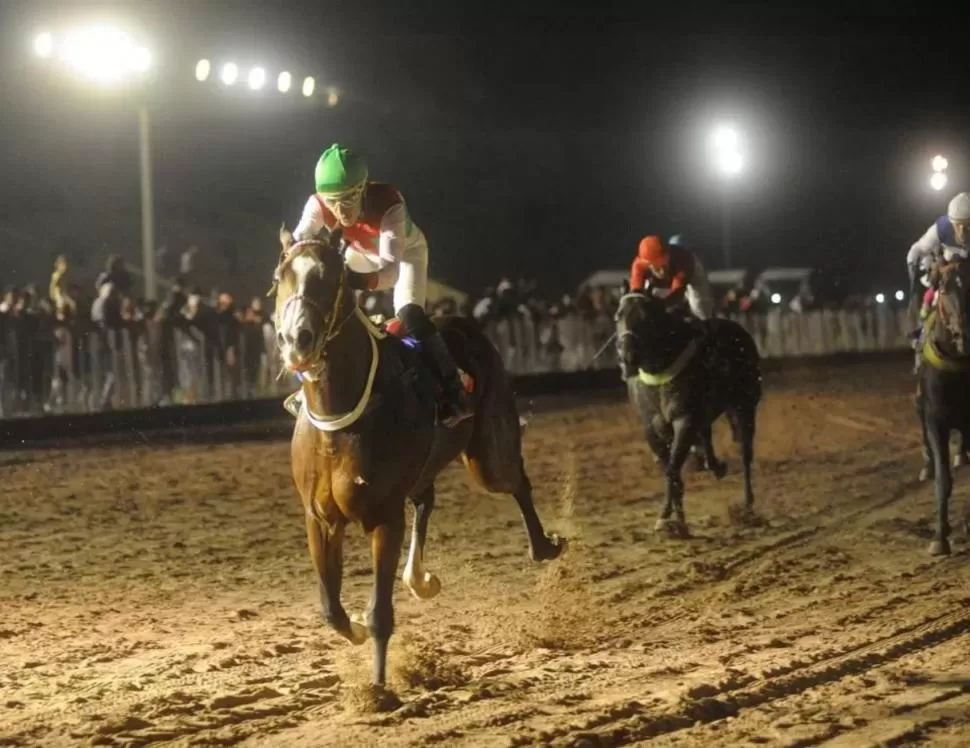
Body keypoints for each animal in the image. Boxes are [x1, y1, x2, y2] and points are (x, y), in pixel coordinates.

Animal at [268, 224, 564, 688]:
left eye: (331, 277)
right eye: (282, 275)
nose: (298, 340)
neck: (341, 414)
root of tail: (463, 324)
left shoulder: (384, 517)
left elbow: (380, 615)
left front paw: (378, 689)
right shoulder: (319, 518)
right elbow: (331, 609)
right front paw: (353, 629)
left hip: (488, 455)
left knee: (517, 480)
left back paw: (544, 547)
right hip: (426, 467)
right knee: (428, 499)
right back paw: (420, 578)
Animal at [612, 288, 764, 536]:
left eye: (647, 317)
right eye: (618, 316)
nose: (627, 357)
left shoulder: (684, 420)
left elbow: (673, 469)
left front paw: (671, 519)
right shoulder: (652, 428)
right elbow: (670, 469)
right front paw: (672, 516)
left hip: (745, 406)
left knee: (745, 454)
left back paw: (747, 504)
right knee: (706, 436)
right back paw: (715, 467)